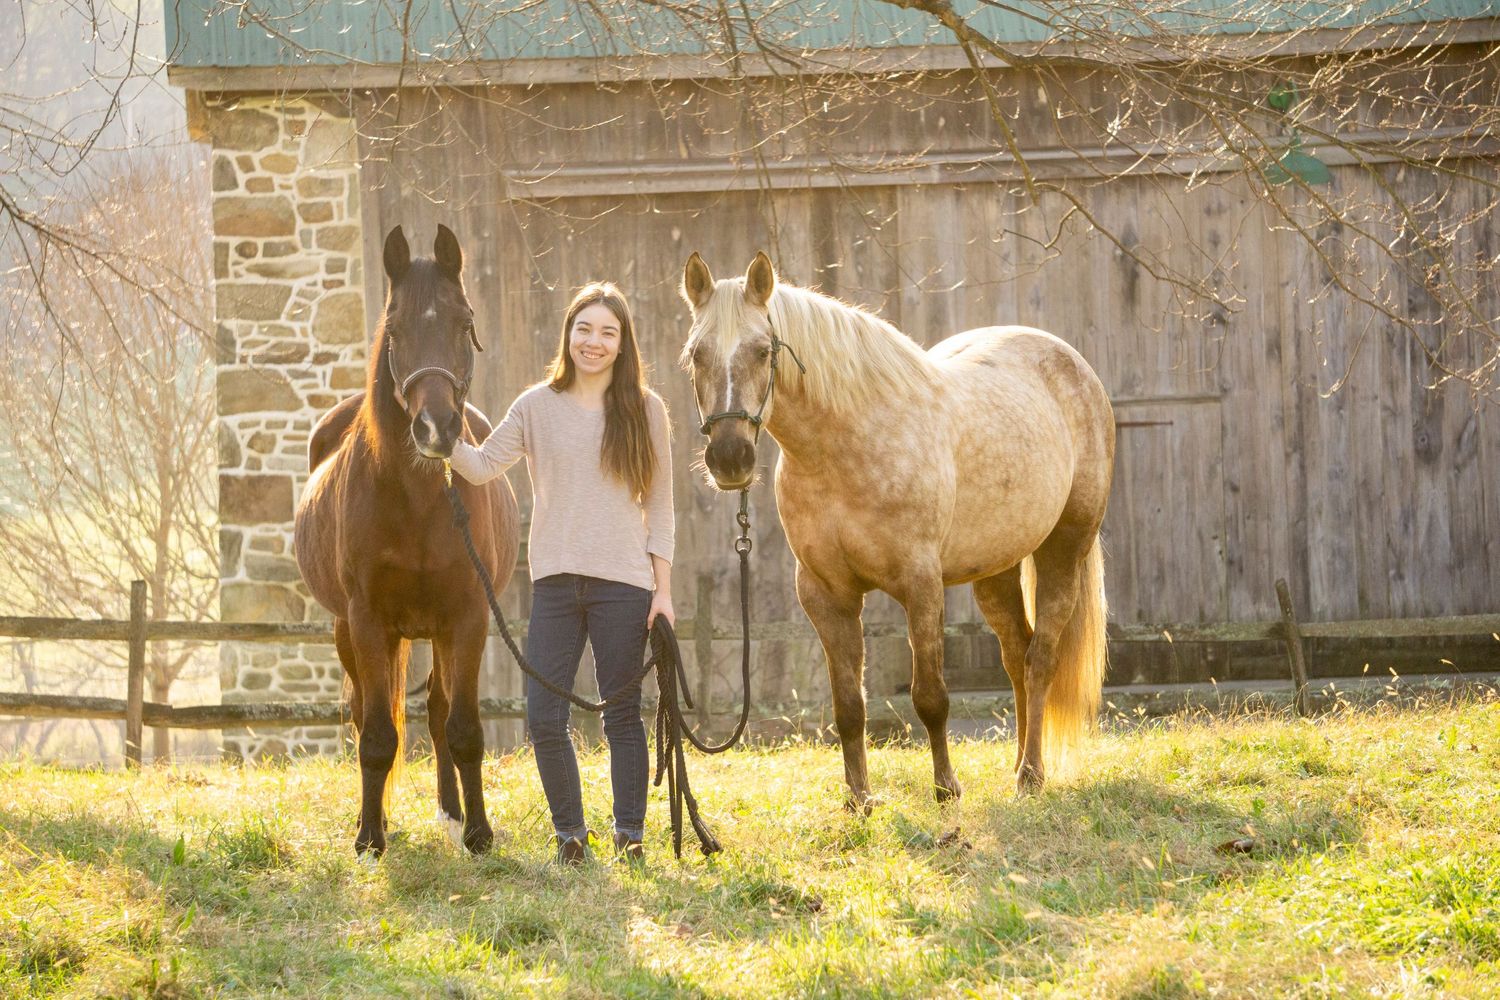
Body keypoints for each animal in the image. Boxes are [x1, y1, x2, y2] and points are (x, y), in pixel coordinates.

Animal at [294, 224, 520, 856]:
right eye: (393, 330)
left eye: (464, 323)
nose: (436, 429)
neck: (420, 500)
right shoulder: (368, 621)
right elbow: (375, 734)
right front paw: (371, 837)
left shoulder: (468, 617)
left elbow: (463, 728)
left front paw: (479, 833)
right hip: (350, 630)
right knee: (363, 714)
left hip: (439, 632)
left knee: (440, 710)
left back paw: (450, 810)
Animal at [679, 252, 1114, 808]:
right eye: (696, 355)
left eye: (761, 351)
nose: (730, 459)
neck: (844, 449)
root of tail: (1074, 365)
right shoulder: (826, 595)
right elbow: (849, 705)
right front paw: (859, 800)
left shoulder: (920, 585)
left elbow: (930, 696)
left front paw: (946, 789)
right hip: (996, 569)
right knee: (1017, 656)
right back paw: (1017, 764)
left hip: (1064, 548)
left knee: (1041, 659)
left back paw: (1031, 776)